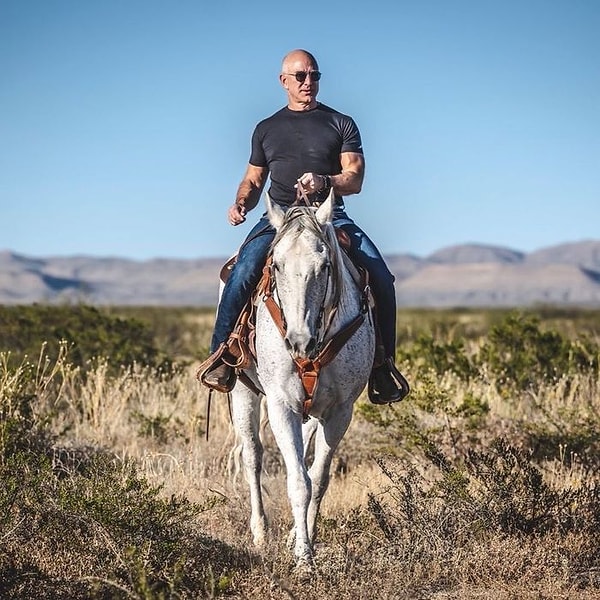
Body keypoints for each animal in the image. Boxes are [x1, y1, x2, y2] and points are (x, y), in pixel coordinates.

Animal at [231, 191, 376, 568]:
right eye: (276, 265)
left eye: (325, 266)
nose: (299, 342)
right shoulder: (282, 406)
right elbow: (298, 481)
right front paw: (304, 560)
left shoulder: (340, 411)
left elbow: (318, 478)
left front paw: (301, 541)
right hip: (242, 393)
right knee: (252, 455)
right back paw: (260, 532)